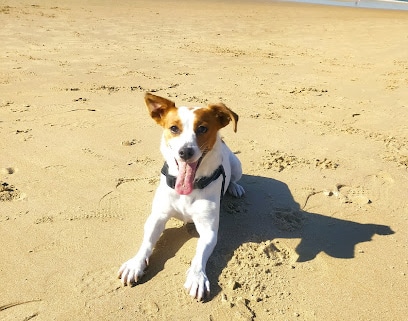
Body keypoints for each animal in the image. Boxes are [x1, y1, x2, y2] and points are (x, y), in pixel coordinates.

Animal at [118, 92, 245, 300]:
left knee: (234, 178)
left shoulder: (209, 229)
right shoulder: (158, 216)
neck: (190, 188)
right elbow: (147, 242)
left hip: (236, 166)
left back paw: (235, 188)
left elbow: (199, 255)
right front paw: (135, 264)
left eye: (202, 128)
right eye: (174, 128)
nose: (185, 152)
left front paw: (197, 277)